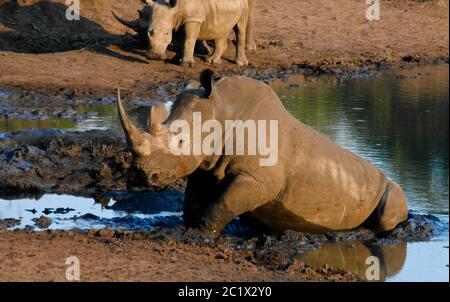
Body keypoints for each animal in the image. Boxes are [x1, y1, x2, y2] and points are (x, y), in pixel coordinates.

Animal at [114, 0, 256, 66]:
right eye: (149, 32)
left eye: (166, 34)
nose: (154, 56)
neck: (175, 9)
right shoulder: (175, 21)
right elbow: (178, 41)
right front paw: (175, 59)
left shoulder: (193, 19)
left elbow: (189, 40)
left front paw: (186, 64)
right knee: (219, 30)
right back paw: (211, 61)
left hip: (243, 5)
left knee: (240, 28)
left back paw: (239, 63)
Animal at [115, 69, 408, 235]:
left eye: (180, 142)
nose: (141, 175)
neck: (221, 112)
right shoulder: (205, 167)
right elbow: (192, 202)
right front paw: (188, 228)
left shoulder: (259, 180)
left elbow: (224, 202)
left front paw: (200, 235)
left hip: (388, 189)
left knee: (389, 208)